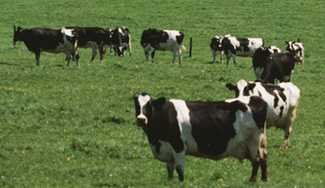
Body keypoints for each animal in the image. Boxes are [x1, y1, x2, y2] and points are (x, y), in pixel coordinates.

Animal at [133, 92, 268, 182]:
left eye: (149, 105)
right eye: (137, 105)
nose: (141, 119)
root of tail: (255, 98)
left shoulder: (178, 146)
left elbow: (179, 169)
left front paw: (181, 182)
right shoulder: (167, 150)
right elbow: (170, 170)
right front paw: (170, 182)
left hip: (253, 142)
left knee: (256, 161)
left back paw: (252, 181)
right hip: (258, 143)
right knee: (263, 159)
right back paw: (263, 180)